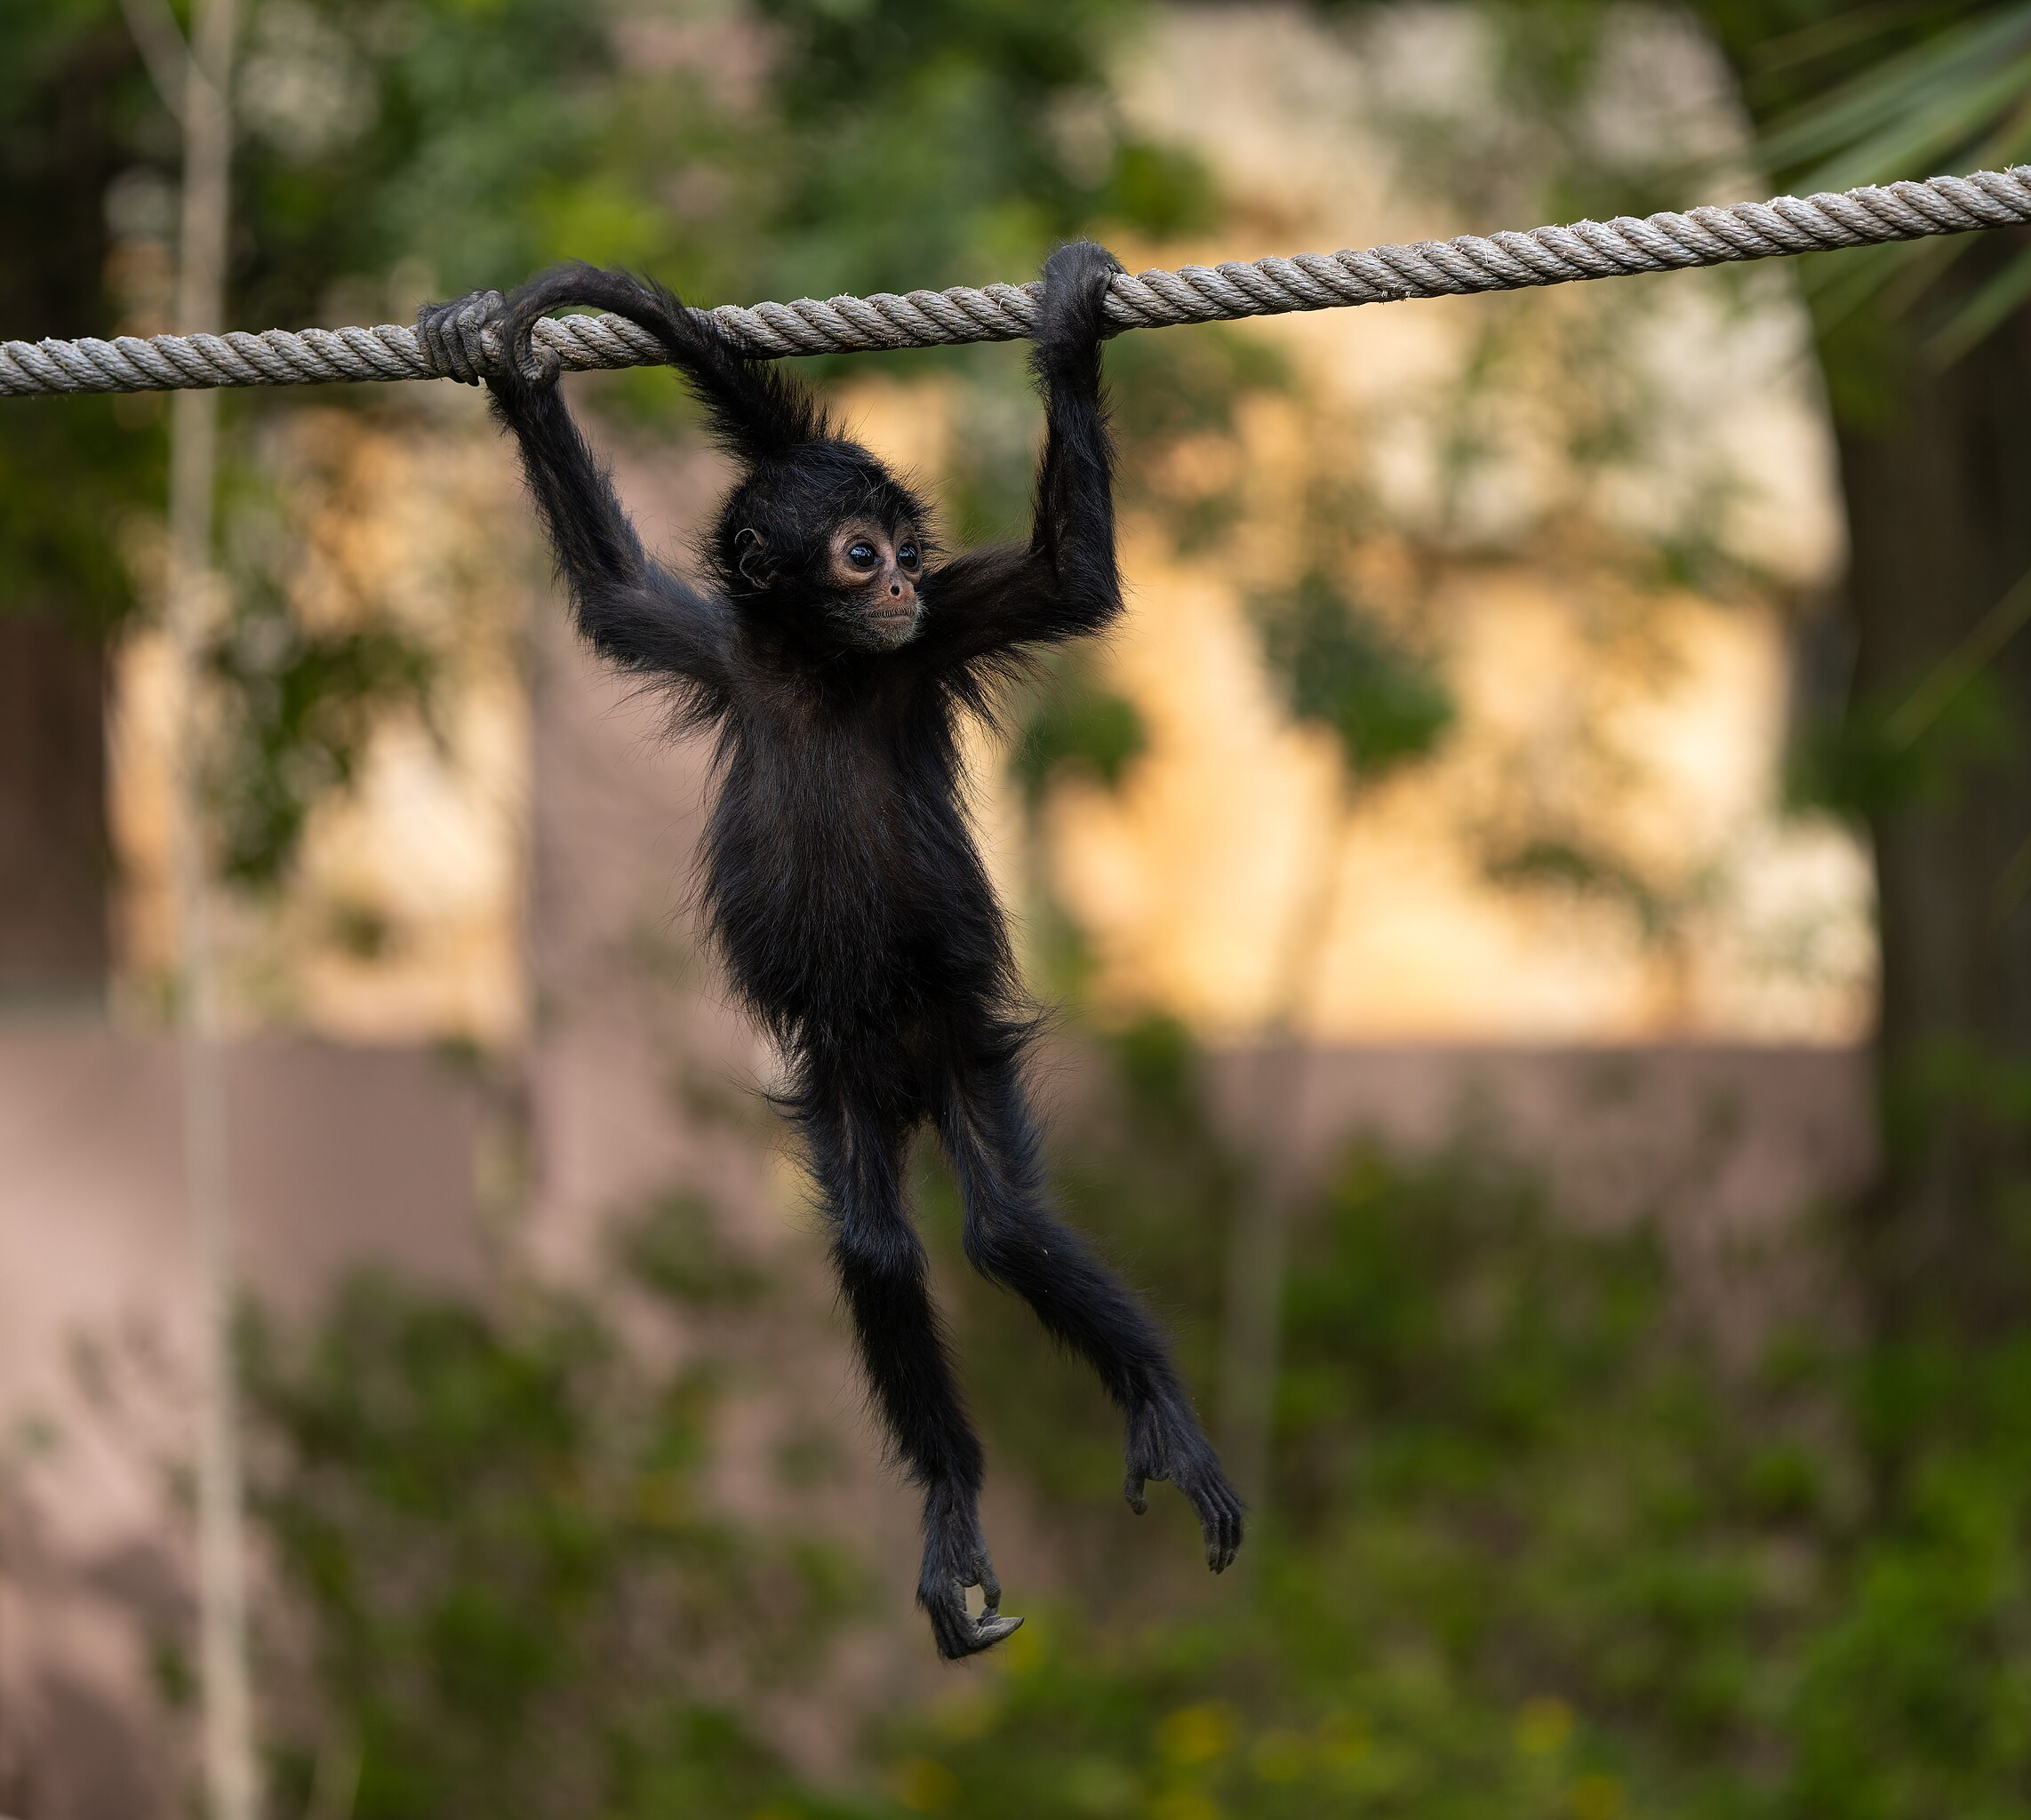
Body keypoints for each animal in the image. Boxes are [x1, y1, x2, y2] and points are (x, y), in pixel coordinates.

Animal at [416, 245, 1235, 1665]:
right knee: (877, 1248)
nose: (898, 583)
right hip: (842, 1076)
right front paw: (510, 367)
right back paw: (953, 1506)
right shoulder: (726, 655)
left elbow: (1075, 582)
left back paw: (1157, 1410)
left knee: (1006, 1229)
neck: (821, 669)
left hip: (953, 1040)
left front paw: (1071, 322)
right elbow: (610, 594)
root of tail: (897, 1075)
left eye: (909, 554)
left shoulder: (937, 639)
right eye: (859, 555)